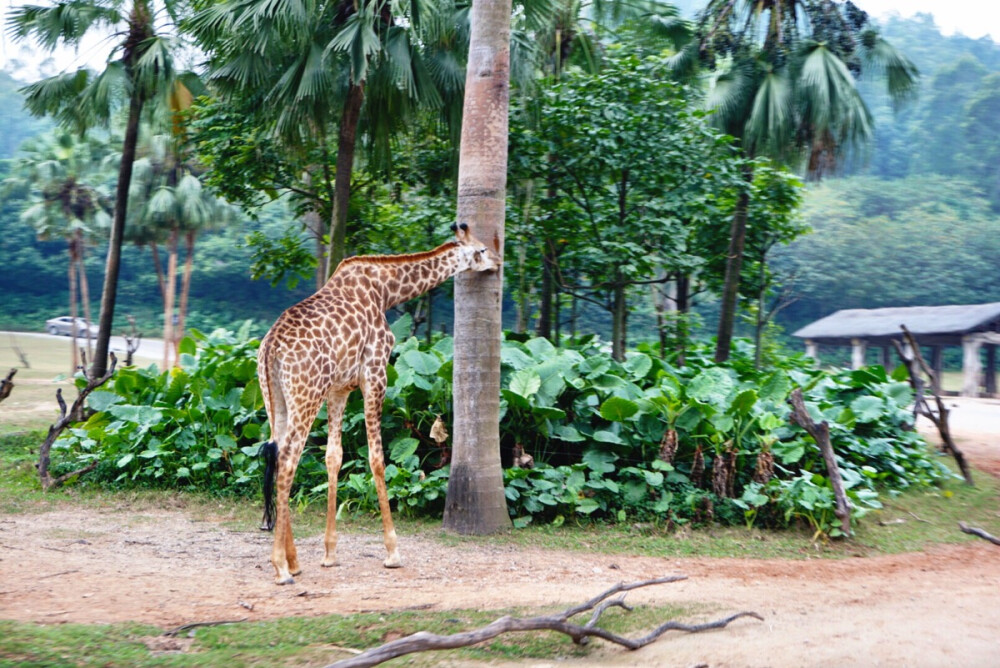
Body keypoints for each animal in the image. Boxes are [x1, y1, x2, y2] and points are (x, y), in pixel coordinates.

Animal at [258, 222, 500, 580]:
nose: (498, 262)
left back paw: (294, 561)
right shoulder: (376, 373)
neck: (386, 290)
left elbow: (333, 457)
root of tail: (271, 347)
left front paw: (330, 554)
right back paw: (281, 567)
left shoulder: (339, 389)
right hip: (306, 395)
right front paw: (393, 551)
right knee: (288, 459)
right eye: (482, 250)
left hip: (275, 399)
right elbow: (376, 458)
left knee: (277, 457)